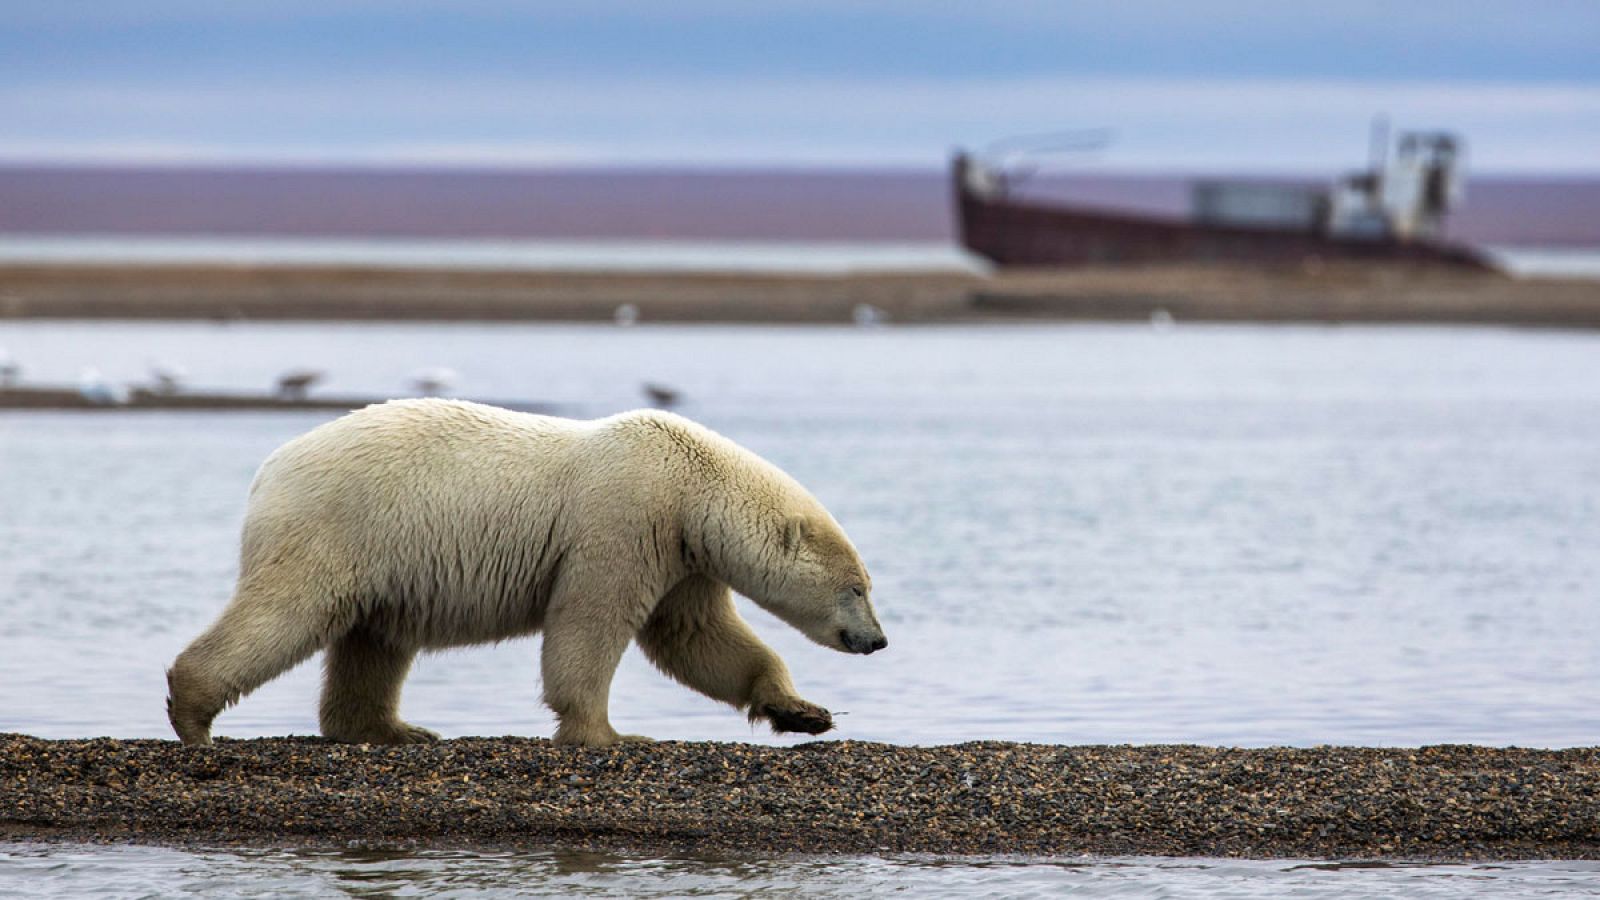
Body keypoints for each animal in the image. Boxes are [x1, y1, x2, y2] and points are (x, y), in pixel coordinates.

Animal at [168, 398, 889, 743]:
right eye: (855, 588)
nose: (877, 640)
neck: (693, 488)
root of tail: (270, 468)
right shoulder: (626, 520)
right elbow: (591, 622)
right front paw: (607, 734)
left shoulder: (684, 555)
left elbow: (697, 638)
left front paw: (803, 711)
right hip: (340, 525)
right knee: (287, 610)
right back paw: (193, 710)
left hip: (384, 556)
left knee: (374, 641)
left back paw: (394, 729)